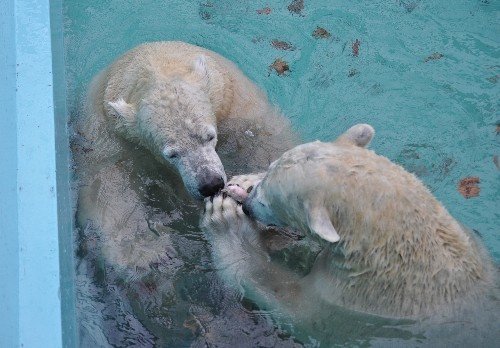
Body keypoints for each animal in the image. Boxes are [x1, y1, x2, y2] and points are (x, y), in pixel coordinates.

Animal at [72, 40, 294, 276]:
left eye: (209, 136)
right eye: (172, 154)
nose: (210, 185)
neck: (159, 64)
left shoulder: (235, 104)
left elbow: (269, 143)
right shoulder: (112, 135)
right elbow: (106, 183)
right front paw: (145, 253)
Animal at [201, 124, 500, 346]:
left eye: (268, 201)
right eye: (270, 166)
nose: (248, 204)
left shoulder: (348, 306)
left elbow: (292, 305)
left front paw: (227, 220)